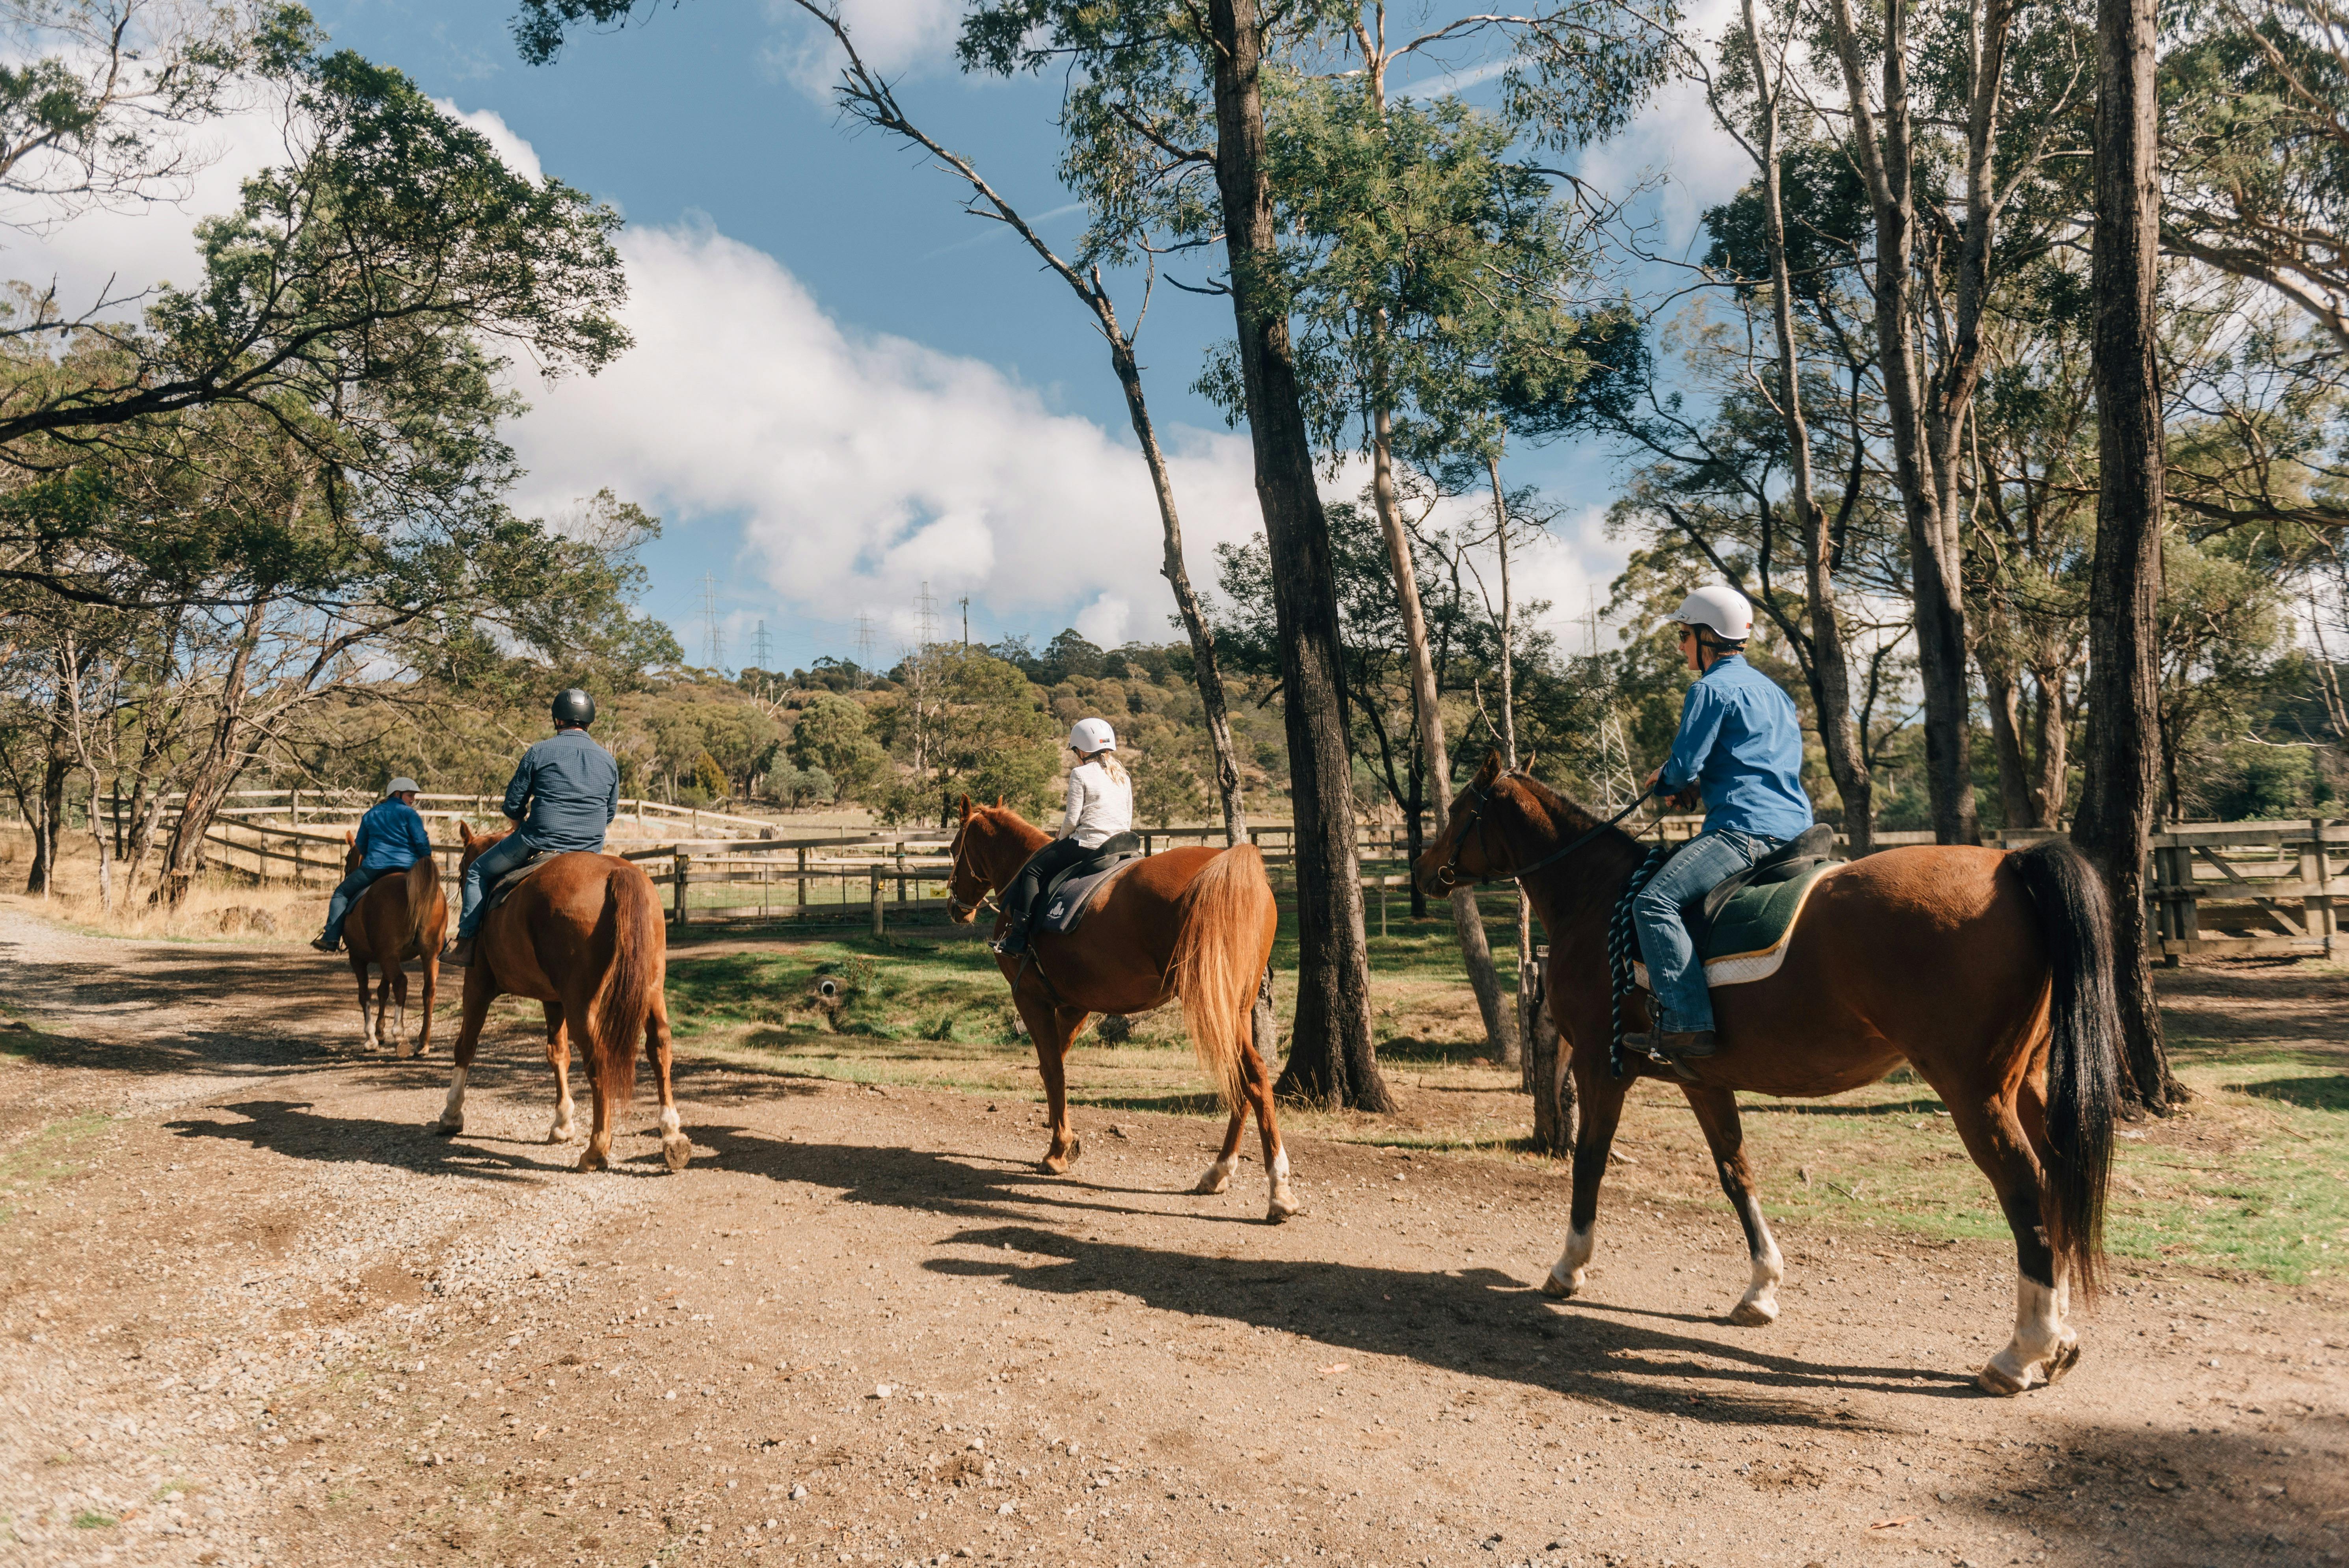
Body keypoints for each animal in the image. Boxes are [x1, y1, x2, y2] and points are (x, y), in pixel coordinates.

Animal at [336, 834, 447, 1055]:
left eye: (348, 860)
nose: (347, 874)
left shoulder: (358, 958)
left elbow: (365, 994)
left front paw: (371, 1038)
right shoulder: (386, 957)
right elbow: (383, 991)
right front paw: (380, 1032)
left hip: (388, 957)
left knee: (401, 983)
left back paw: (400, 1034)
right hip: (429, 954)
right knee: (429, 990)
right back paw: (423, 1043)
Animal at [436, 822, 689, 1174]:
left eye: (463, 870)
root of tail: (618, 873)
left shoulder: (477, 985)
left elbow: (466, 1045)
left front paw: (452, 1113)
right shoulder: (553, 1000)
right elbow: (558, 1054)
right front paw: (563, 1123)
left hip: (582, 1004)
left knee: (599, 1061)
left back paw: (597, 1148)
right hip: (651, 991)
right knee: (659, 1047)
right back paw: (672, 1135)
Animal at [944, 797, 1298, 1222]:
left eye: (954, 849)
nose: (955, 907)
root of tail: (1227, 868)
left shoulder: (1031, 999)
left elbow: (1052, 1070)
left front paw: (1058, 1151)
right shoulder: (1075, 1007)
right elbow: (1055, 1068)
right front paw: (1064, 1139)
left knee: (1253, 1076)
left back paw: (1278, 1190)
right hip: (1232, 1005)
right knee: (1242, 1076)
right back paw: (1219, 1171)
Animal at [1414, 753, 2122, 1395]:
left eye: (1460, 809)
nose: (1423, 870)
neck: (1597, 897)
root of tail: (2010, 864)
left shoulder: (1598, 1064)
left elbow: (1589, 1162)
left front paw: (1568, 1267)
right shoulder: (1702, 1078)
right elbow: (1736, 1173)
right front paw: (1761, 1288)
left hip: (1976, 1092)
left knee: (2027, 1190)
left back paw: (2021, 1350)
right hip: (2027, 1085)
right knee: (2056, 1183)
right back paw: (2059, 1340)